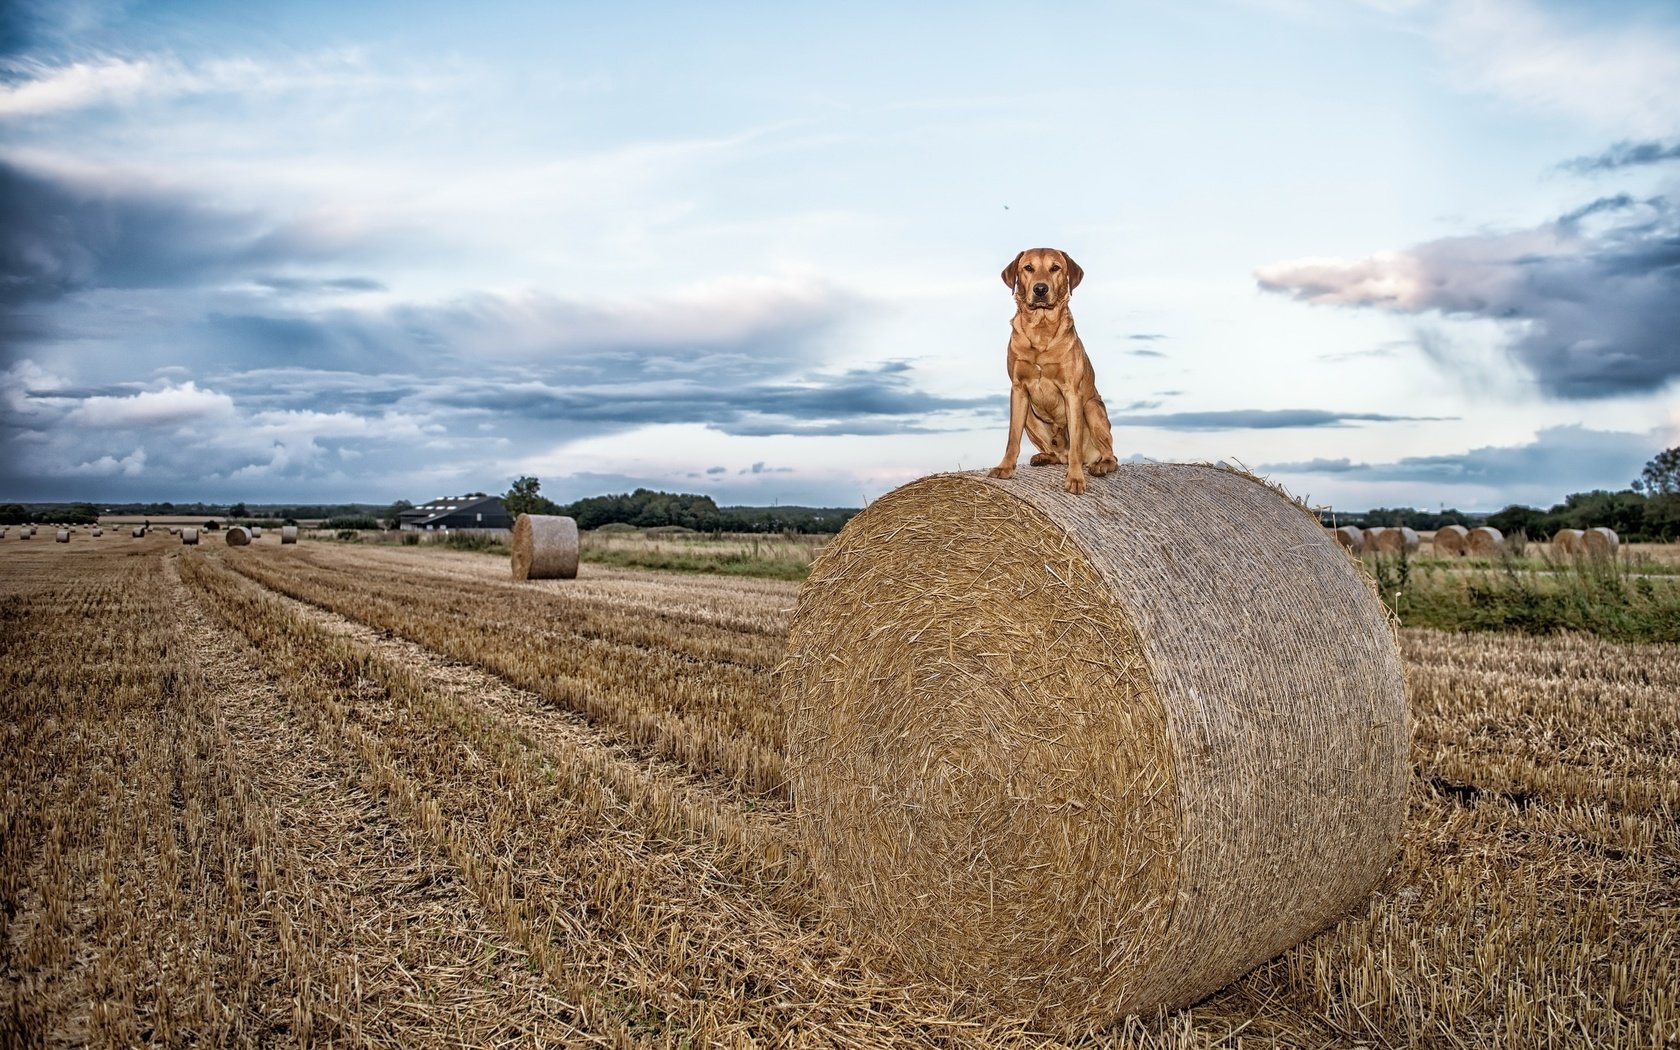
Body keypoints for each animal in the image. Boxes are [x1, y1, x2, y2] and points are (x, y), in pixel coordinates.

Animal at [987, 246, 1122, 493]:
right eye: (1028, 268)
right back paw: (1044, 457)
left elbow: (1076, 445)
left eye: (1055, 268)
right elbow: (1012, 438)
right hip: (1031, 418)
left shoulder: (1072, 392)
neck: (1041, 329)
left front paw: (1076, 478)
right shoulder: (1018, 389)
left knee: (1109, 456)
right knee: (1058, 455)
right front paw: (1005, 467)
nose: (1040, 289)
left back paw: (1100, 465)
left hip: (1091, 407)